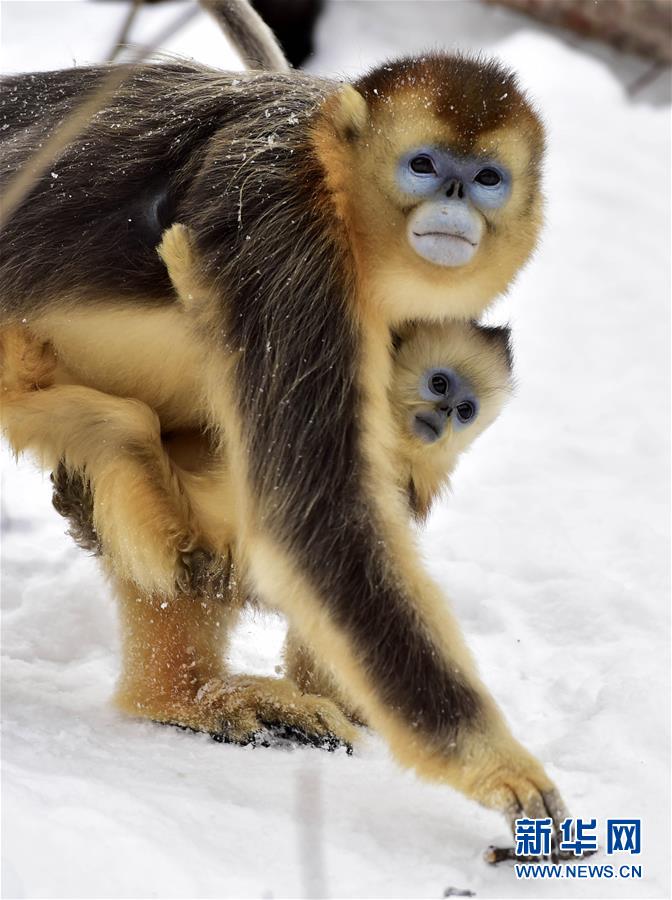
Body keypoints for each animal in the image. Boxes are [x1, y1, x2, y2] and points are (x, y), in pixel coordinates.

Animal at [1, 26, 568, 844]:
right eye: (424, 165)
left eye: (488, 177)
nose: (457, 198)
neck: (330, 180)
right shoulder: (284, 239)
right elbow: (318, 524)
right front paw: (500, 766)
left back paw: (183, 697)